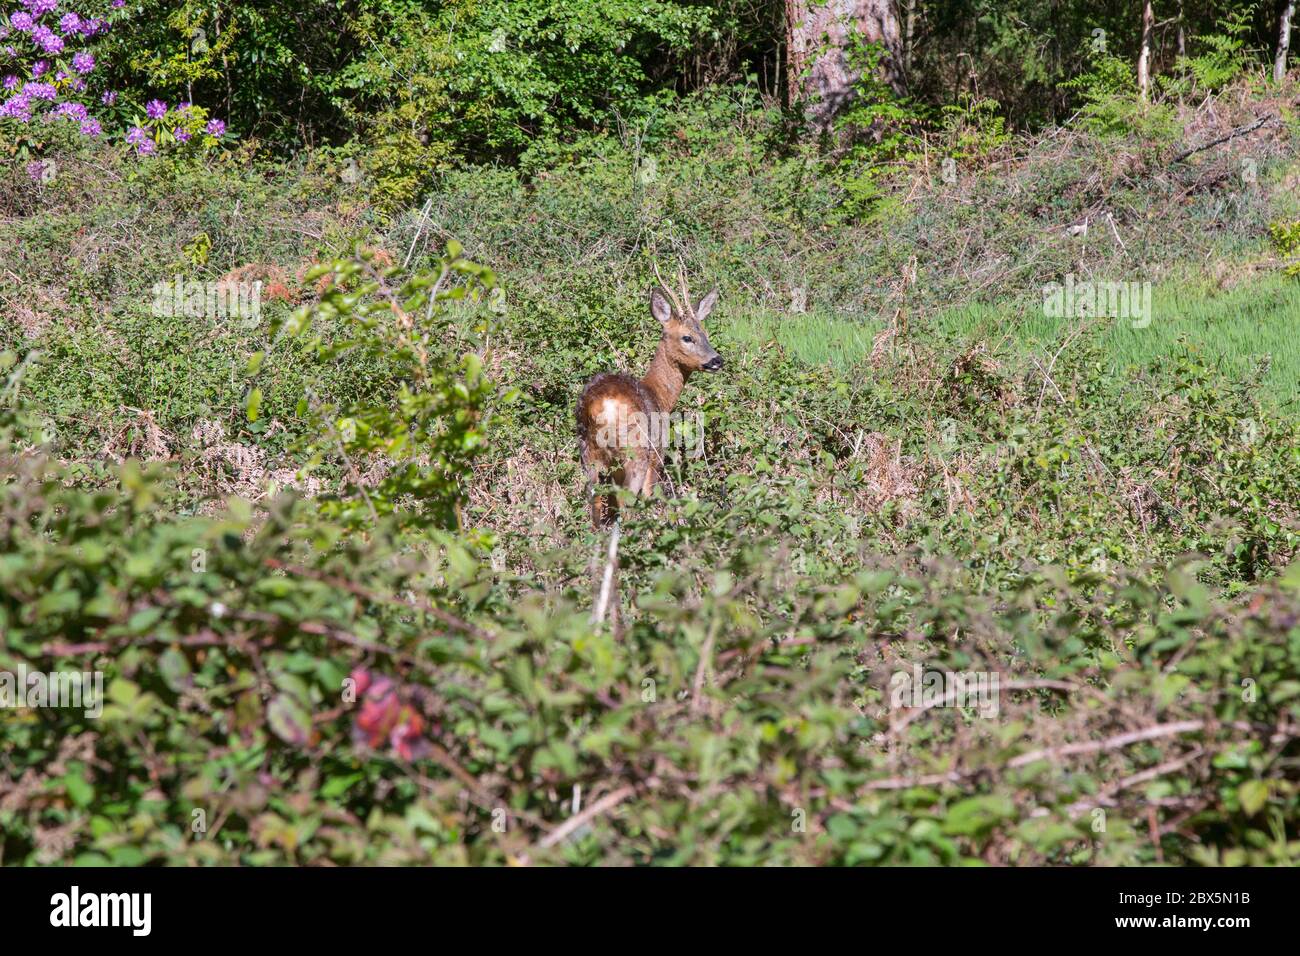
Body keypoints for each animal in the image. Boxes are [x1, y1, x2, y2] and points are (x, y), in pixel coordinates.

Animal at [577, 277, 722, 530]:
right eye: (687, 337)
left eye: (705, 333)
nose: (717, 360)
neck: (660, 398)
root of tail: (602, 406)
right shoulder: (658, 454)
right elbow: (648, 497)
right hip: (636, 452)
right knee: (627, 502)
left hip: (588, 452)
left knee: (595, 500)